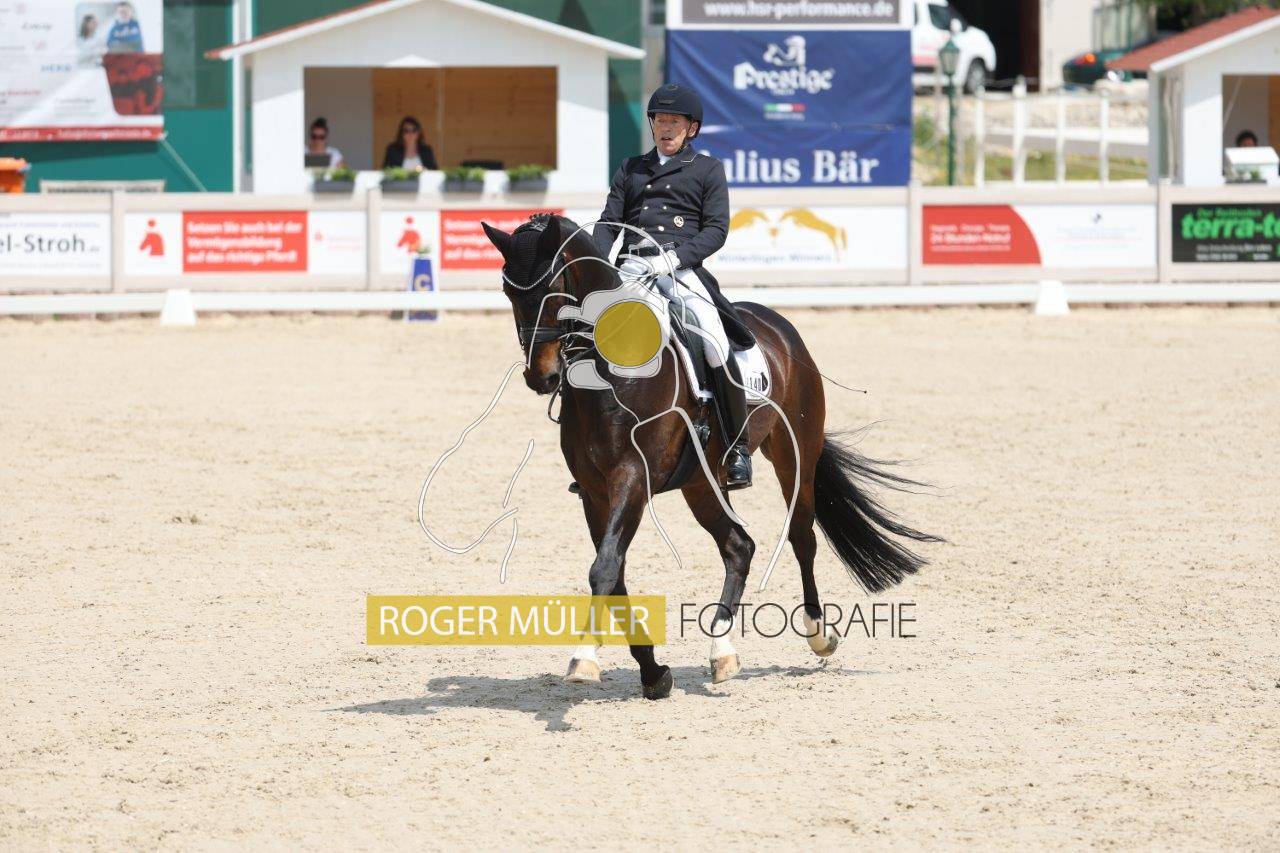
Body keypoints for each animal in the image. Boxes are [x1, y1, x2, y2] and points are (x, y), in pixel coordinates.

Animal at [481, 213, 938, 700]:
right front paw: (653, 672)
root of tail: (778, 326)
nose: (541, 376)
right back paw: (722, 652)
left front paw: (584, 658)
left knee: (801, 537)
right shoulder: (593, 492)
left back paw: (818, 635)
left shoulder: (632, 479)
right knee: (739, 546)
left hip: (795, 455)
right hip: (702, 482)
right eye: (509, 291)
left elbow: (603, 568)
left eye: (553, 288)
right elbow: (615, 572)